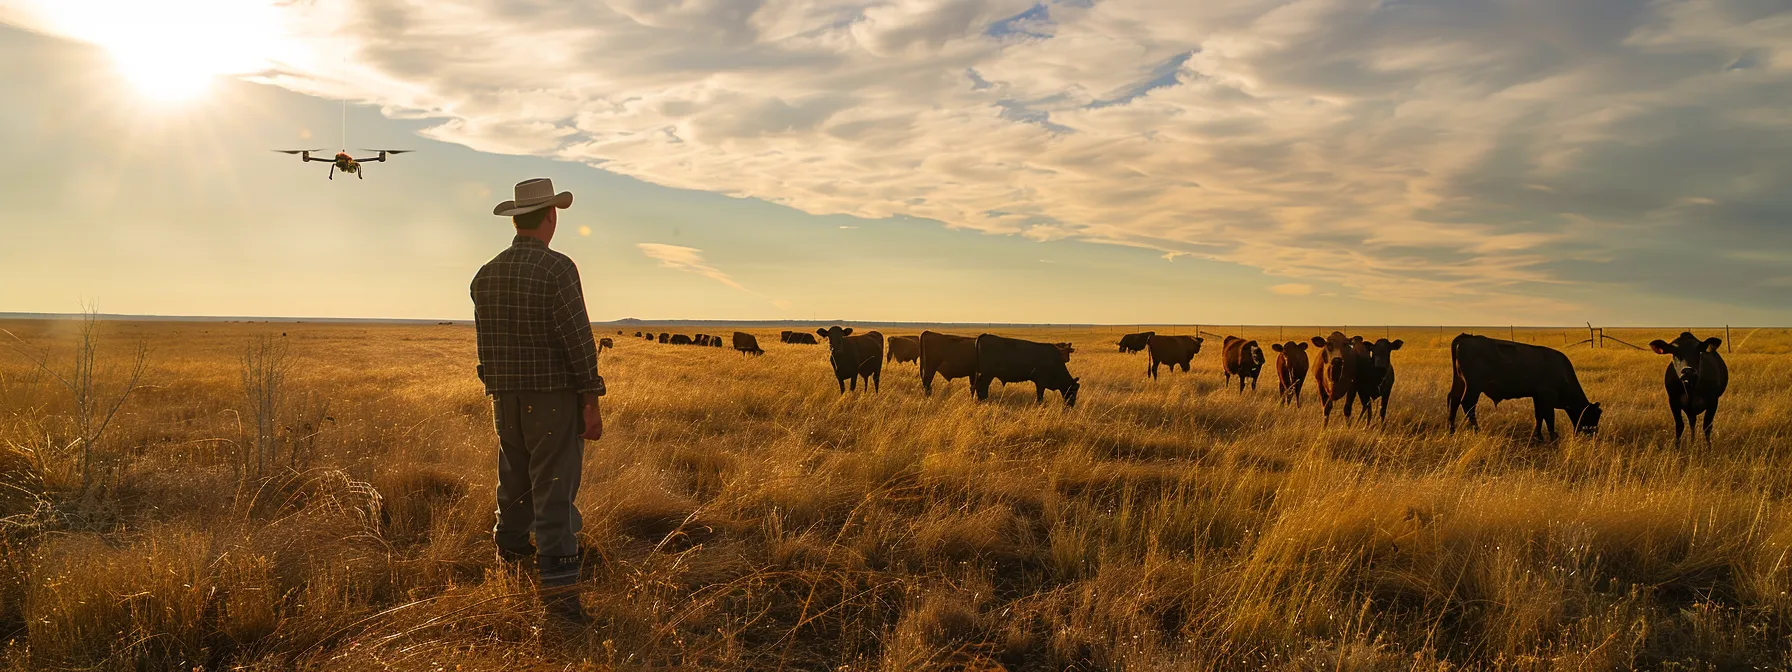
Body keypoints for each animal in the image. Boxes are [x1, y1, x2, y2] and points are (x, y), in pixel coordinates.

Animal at [1447, 335, 1605, 442]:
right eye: (1592, 415)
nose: (1593, 434)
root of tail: (1465, 337)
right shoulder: (1547, 397)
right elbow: (1549, 417)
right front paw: (1553, 437)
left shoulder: (1538, 397)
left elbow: (1539, 416)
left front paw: (1538, 436)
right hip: (1474, 387)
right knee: (1468, 404)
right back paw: (1477, 430)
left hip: (1460, 382)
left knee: (1454, 399)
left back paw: (1451, 430)